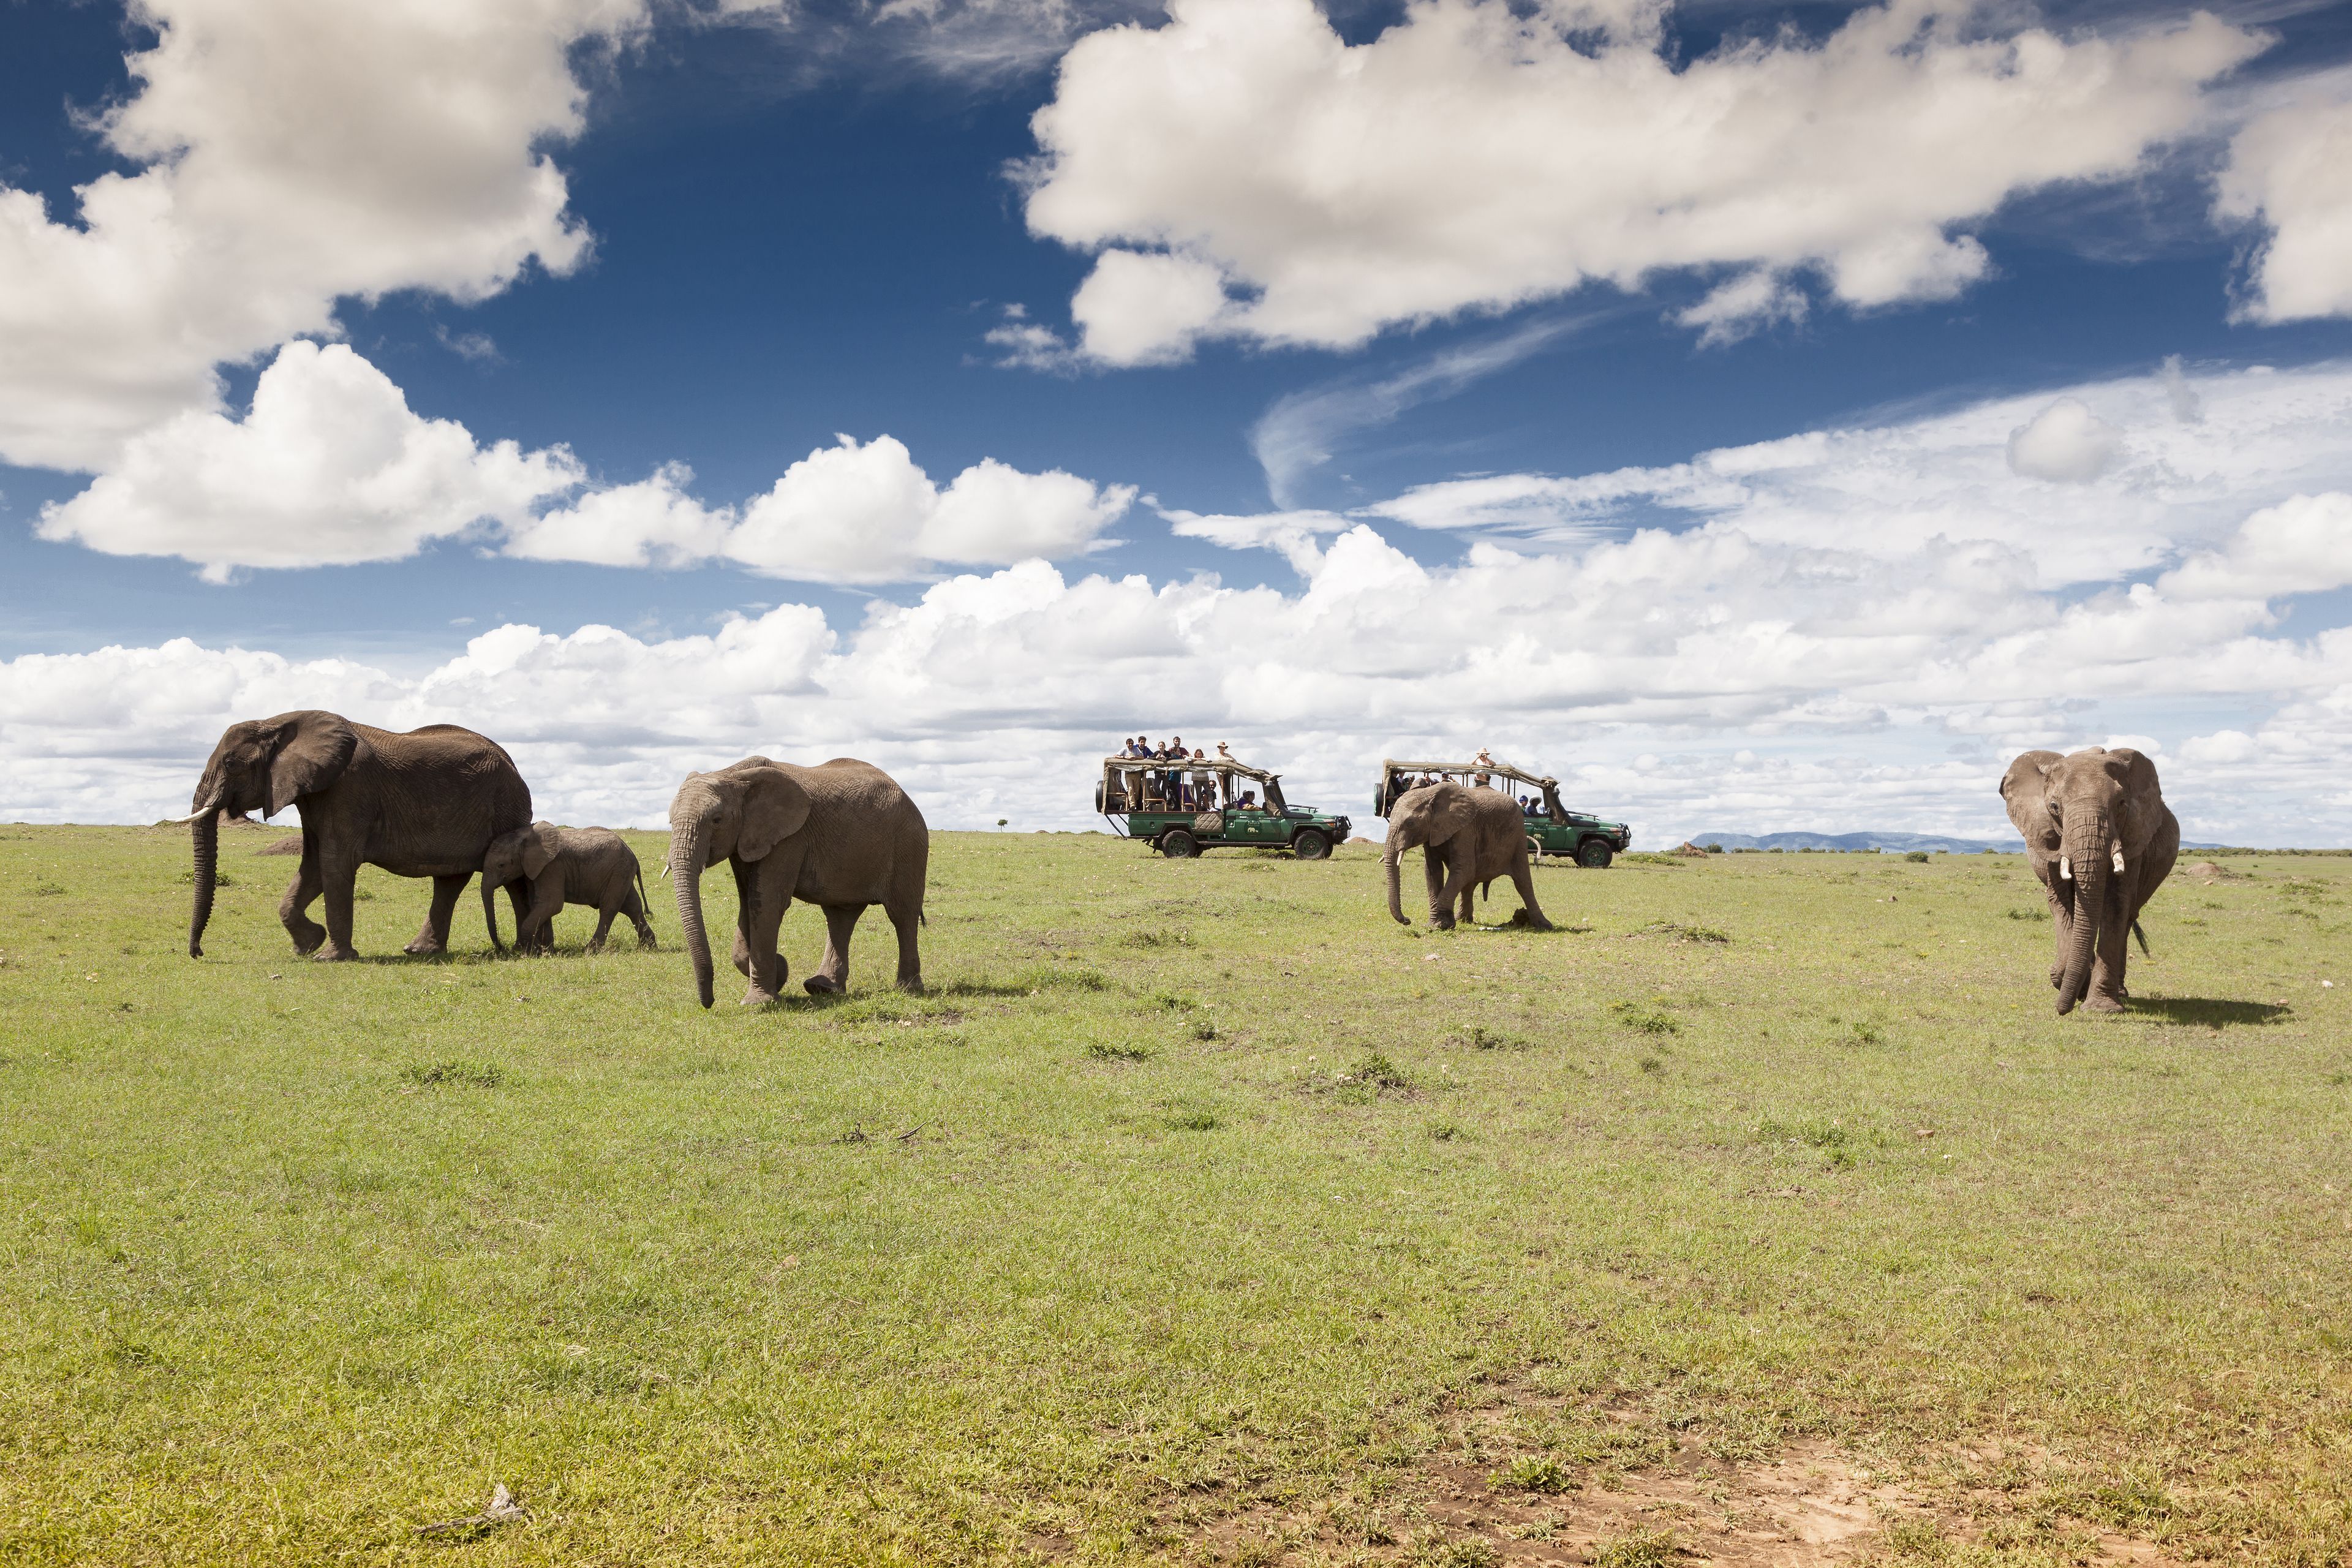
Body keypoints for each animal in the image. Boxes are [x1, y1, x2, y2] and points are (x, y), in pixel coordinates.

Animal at [181, 710, 533, 962]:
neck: (278, 722)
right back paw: (420, 952)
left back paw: (524, 948)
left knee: (509, 879)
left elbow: (335, 864)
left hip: (507, 807)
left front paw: (328, 957)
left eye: (231, 763)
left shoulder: (348, 790)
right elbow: (312, 866)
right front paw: (308, 946)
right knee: (450, 880)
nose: (198, 953)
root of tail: (513, 762)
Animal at [482, 822, 657, 955]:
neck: (524, 835)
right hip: (621, 872)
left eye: (501, 865)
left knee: (609, 908)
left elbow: (551, 904)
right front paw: (544, 950)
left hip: (618, 871)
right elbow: (539, 904)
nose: (501, 948)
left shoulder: (552, 866)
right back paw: (648, 947)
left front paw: (524, 951)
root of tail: (633, 854)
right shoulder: (534, 869)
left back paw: (590, 950)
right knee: (632, 907)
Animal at [667, 756, 929, 1008]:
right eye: (670, 822)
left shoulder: (789, 838)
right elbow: (748, 902)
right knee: (840, 916)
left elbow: (766, 903)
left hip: (909, 845)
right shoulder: (746, 839)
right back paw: (822, 988)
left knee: (902, 914)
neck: (733, 774)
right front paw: (778, 974)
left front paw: (759, 1001)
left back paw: (907, 989)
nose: (709, 1003)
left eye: (717, 820)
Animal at [1384, 781, 1552, 931]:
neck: (1430, 793)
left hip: (1518, 836)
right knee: (1469, 884)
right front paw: (1434, 924)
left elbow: (1464, 869)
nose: (1408, 920)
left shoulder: (1466, 829)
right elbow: (1433, 871)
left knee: (1523, 883)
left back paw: (1544, 926)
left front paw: (1441, 926)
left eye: (1410, 823)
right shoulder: (1433, 831)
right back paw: (1463, 920)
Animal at [2000, 746, 2179, 1015]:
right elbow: (2062, 903)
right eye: (2054, 806)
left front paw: (2101, 1008)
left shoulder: (2132, 838)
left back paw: (2120, 993)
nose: (2060, 1011)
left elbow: (2116, 904)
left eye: (2122, 804)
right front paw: (2071, 985)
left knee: (2126, 918)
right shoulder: (2052, 840)